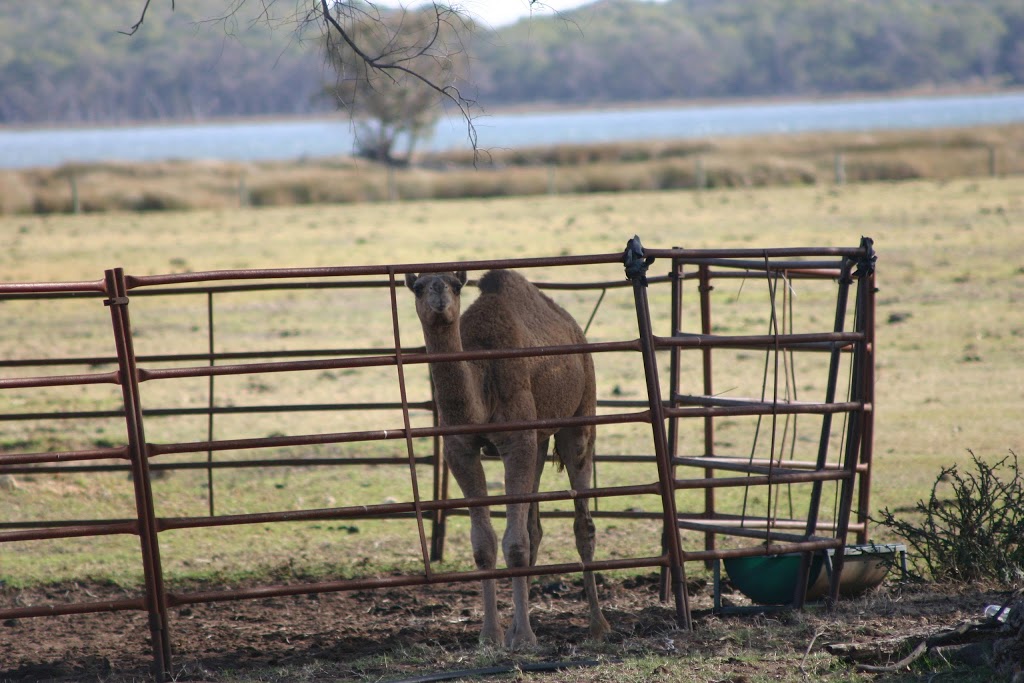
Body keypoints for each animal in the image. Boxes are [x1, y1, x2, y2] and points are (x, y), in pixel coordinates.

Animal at [405, 268, 610, 647]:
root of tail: (575, 328)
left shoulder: (517, 440)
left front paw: (525, 638)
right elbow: (484, 544)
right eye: (419, 287)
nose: (439, 298)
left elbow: (515, 544)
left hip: (581, 415)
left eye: (455, 285)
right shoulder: (460, 448)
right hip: (540, 439)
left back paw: (598, 625)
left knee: (583, 523)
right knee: (535, 526)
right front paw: (491, 635)